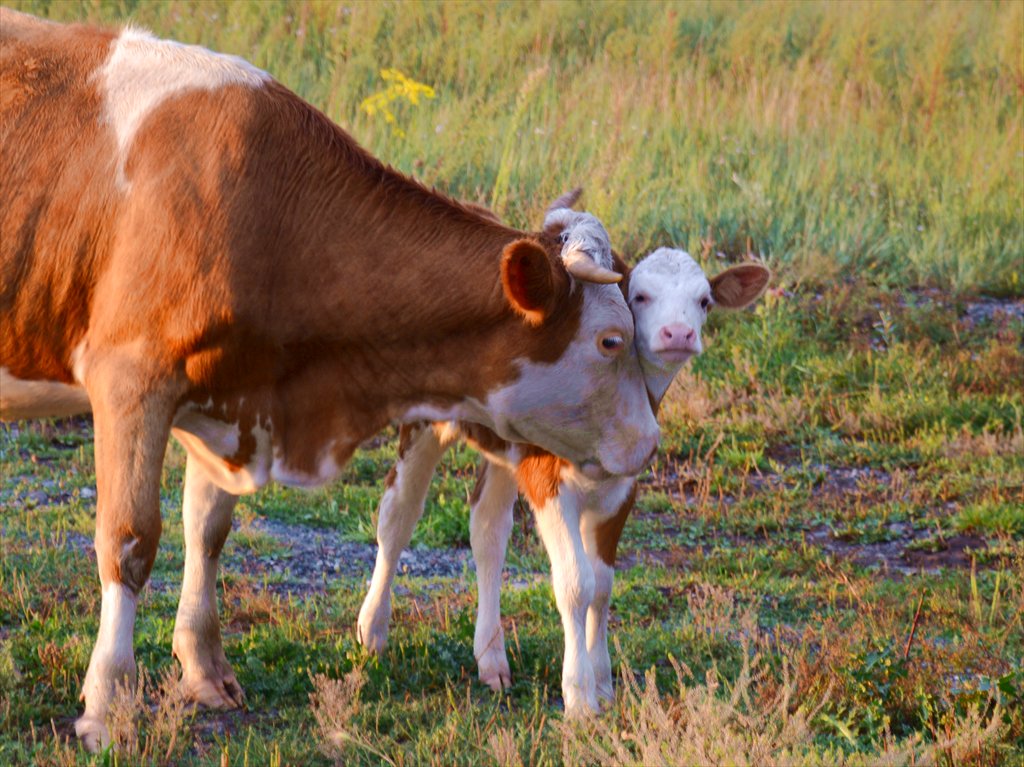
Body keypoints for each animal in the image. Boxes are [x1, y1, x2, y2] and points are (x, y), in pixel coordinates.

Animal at [0, 11, 659, 749]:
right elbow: (130, 540)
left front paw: (204, 670)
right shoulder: (131, 377)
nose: (649, 439)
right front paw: (107, 704)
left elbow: (208, 527)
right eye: (610, 340)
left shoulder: (230, 393)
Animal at [356, 243, 765, 712]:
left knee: (488, 528)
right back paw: (372, 630)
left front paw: (603, 683)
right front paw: (580, 699)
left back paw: (492, 660)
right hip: (423, 421)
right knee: (398, 513)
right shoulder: (546, 480)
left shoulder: (623, 486)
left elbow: (602, 584)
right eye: (639, 297)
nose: (678, 334)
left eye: (704, 301)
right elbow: (575, 583)